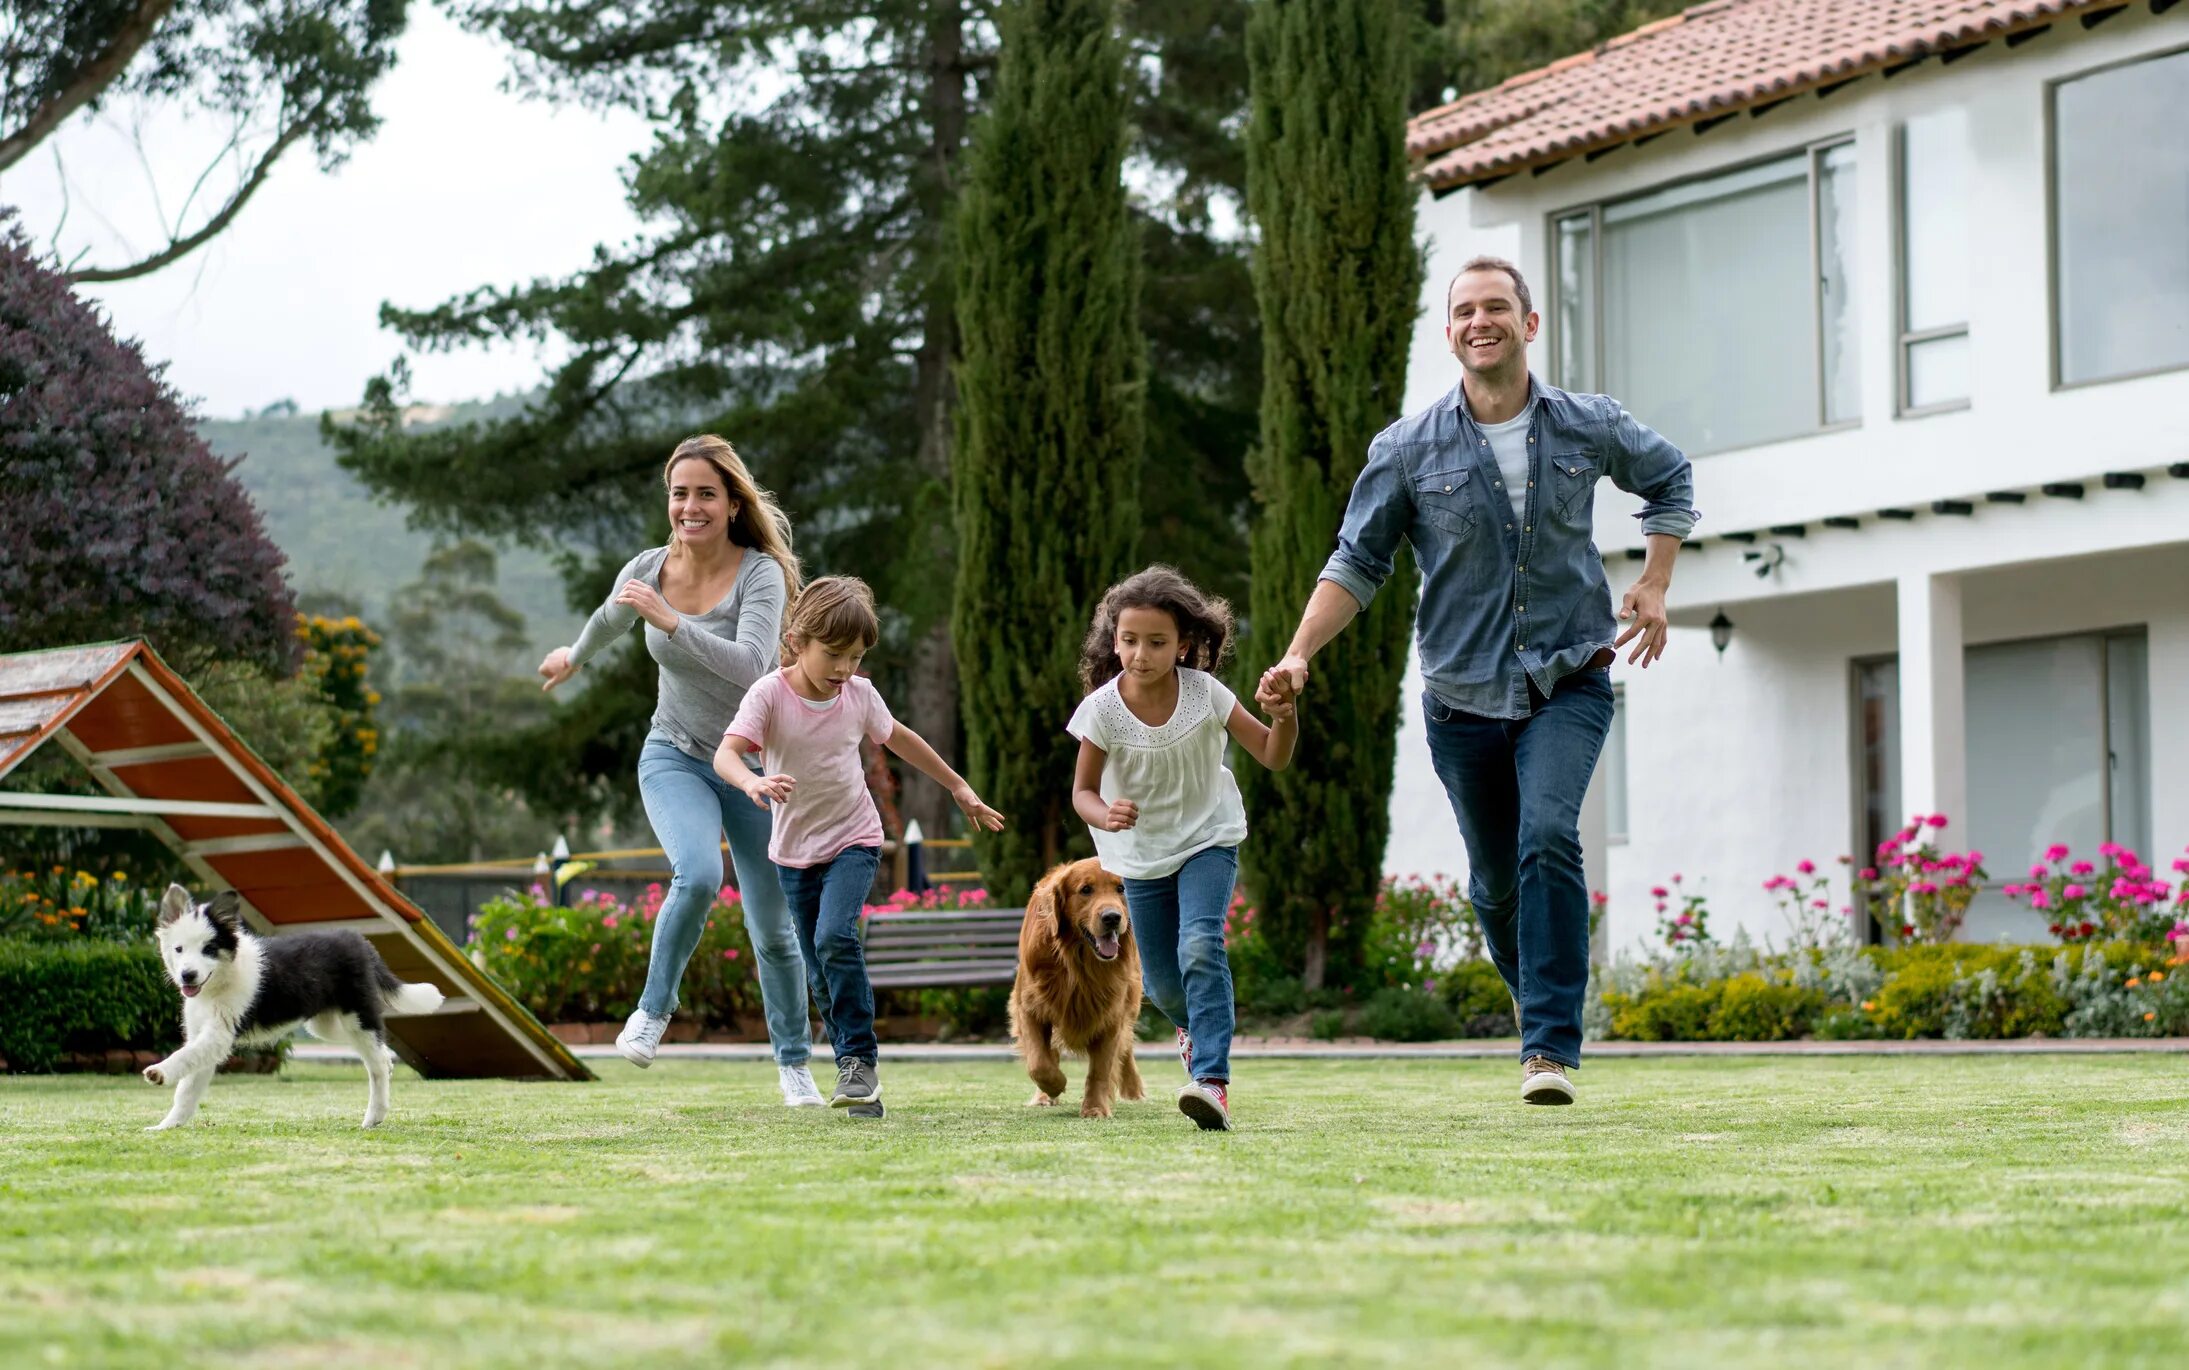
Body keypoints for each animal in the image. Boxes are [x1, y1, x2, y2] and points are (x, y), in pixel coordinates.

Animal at [146, 879, 444, 1129]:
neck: (219, 981)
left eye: (208, 949)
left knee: (377, 1065)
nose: (187, 975)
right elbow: (188, 1085)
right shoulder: (203, 1036)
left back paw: (374, 1116)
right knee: (378, 1051)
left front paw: (159, 1072)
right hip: (328, 1025)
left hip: (356, 1017)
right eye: (179, 949)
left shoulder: (219, 1033)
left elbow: (184, 1056)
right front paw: (168, 1125)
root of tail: (359, 941)